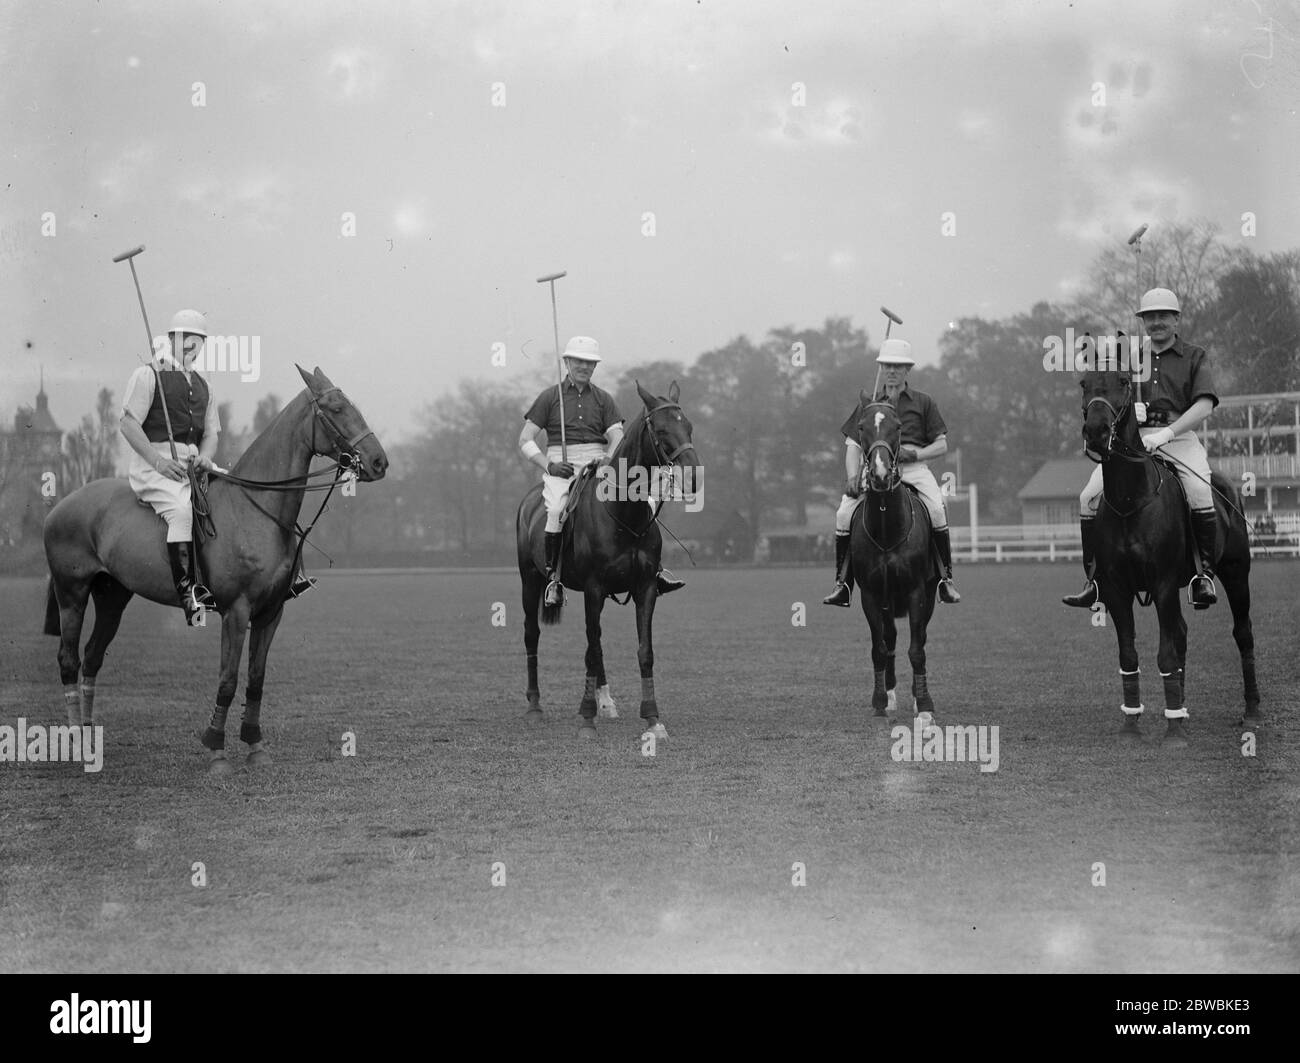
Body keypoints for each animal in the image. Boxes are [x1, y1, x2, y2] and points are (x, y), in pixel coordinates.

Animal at [41, 366, 384, 769]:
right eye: (336, 408)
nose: (379, 462)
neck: (258, 509)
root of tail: (58, 507)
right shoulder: (236, 610)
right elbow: (228, 679)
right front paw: (216, 750)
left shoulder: (271, 612)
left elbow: (256, 678)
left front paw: (255, 745)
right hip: (72, 592)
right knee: (68, 659)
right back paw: (75, 741)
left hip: (113, 595)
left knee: (92, 657)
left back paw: (90, 736)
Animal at [514, 382, 702, 738]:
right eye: (660, 430)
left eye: (688, 426)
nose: (692, 478)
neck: (622, 512)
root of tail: (528, 500)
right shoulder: (594, 587)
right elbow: (593, 648)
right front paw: (587, 719)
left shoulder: (644, 588)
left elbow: (643, 651)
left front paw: (653, 719)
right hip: (530, 580)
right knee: (533, 634)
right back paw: (533, 706)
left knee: (593, 641)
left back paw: (605, 703)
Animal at [847, 397, 941, 722]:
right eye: (861, 427)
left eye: (898, 426)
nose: (879, 475)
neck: (888, 529)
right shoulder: (872, 594)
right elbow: (879, 648)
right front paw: (879, 700)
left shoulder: (916, 592)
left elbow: (917, 648)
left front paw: (924, 704)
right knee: (889, 640)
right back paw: (889, 694)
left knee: (919, 638)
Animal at [1076, 363, 1258, 738]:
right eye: (1084, 383)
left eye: (1124, 382)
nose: (1096, 433)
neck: (1130, 499)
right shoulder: (1116, 590)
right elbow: (1129, 655)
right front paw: (1132, 723)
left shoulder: (1162, 585)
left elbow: (1166, 655)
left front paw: (1174, 733)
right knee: (1183, 634)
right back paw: (1181, 709)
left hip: (1236, 572)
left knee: (1242, 633)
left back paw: (1251, 711)